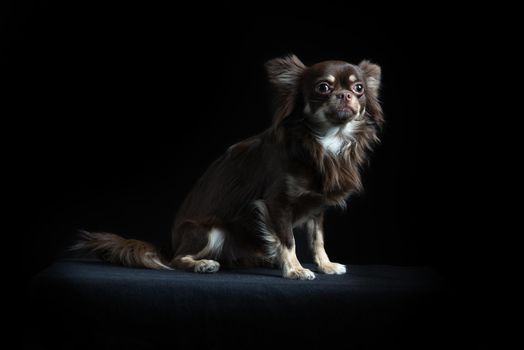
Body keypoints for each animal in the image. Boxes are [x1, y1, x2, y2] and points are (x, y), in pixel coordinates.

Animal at [73, 54, 382, 278]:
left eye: (358, 88)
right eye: (323, 87)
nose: (345, 95)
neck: (326, 141)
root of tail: (170, 245)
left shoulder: (316, 207)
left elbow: (317, 240)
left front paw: (325, 264)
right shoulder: (276, 204)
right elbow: (287, 240)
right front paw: (294, 269)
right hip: (211, 231)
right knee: (177, 260)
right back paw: (202, 264)